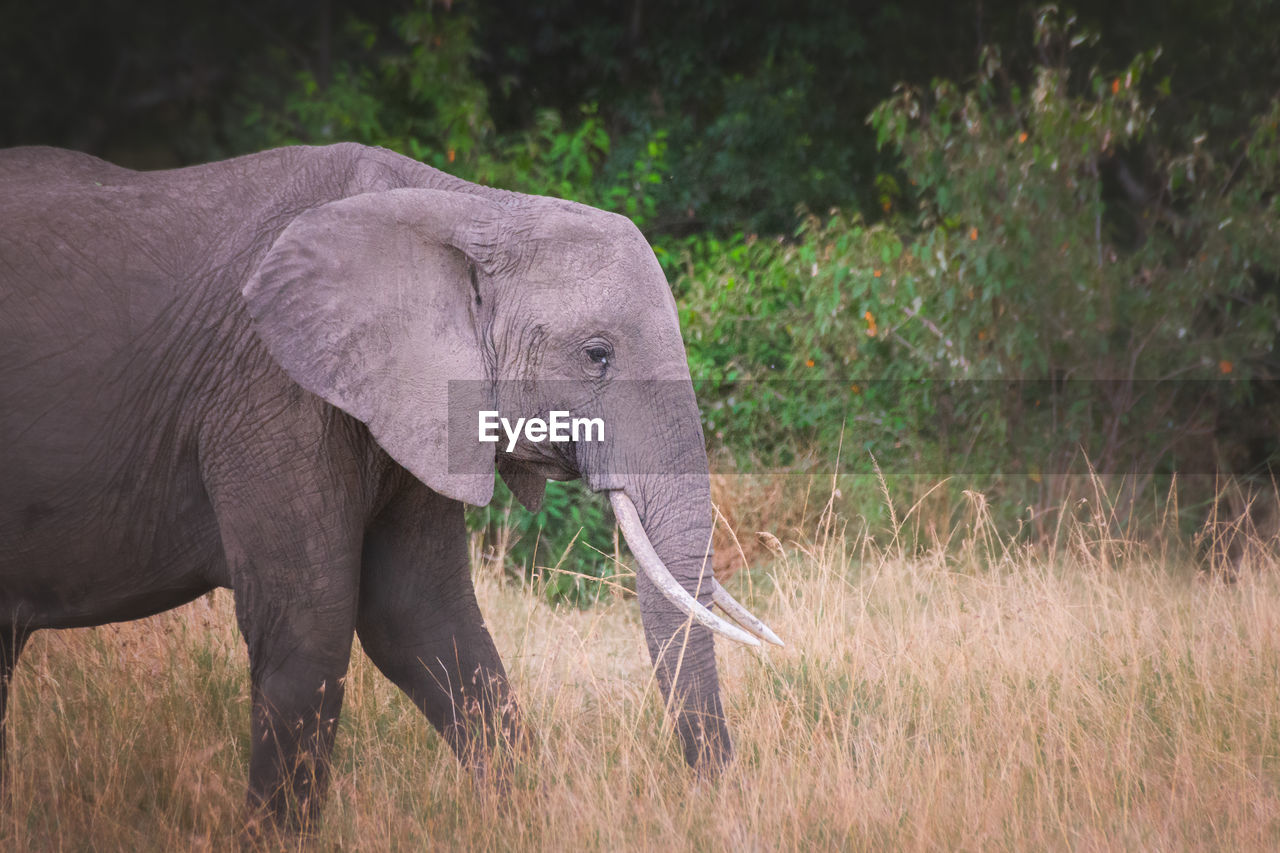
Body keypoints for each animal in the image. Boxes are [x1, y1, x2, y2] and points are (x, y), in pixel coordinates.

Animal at [0, 142, 778, 824]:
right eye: (596, 355)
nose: (707, 802)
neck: (467, 206)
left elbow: (422, 617)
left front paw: (525, 822)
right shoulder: (269, 392)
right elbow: (310, 628)